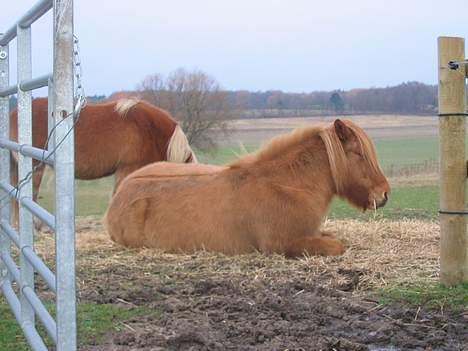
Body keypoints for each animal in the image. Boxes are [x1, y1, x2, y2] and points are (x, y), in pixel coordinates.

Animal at [104, 119, 390, 258]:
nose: (384, 194)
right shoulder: (286, 243)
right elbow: (336, 246)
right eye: (359, 154)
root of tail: (119, 196)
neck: (287, 185)